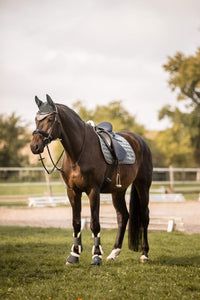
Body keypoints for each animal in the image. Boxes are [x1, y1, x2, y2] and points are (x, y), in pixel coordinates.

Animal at [29, 95, 152, 266]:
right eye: (36, 119)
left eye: (50, 119)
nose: (34, 146)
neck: (79, 151)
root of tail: (140, 141)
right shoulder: (72, 191)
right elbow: (76, 223)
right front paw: (74, 255)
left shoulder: (93, 191)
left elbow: (94, 224)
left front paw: (96, 256)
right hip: (118, 191)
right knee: (123, 216)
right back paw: (114, 253)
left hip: (143, 186)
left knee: (145, 216)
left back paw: (144, 254)